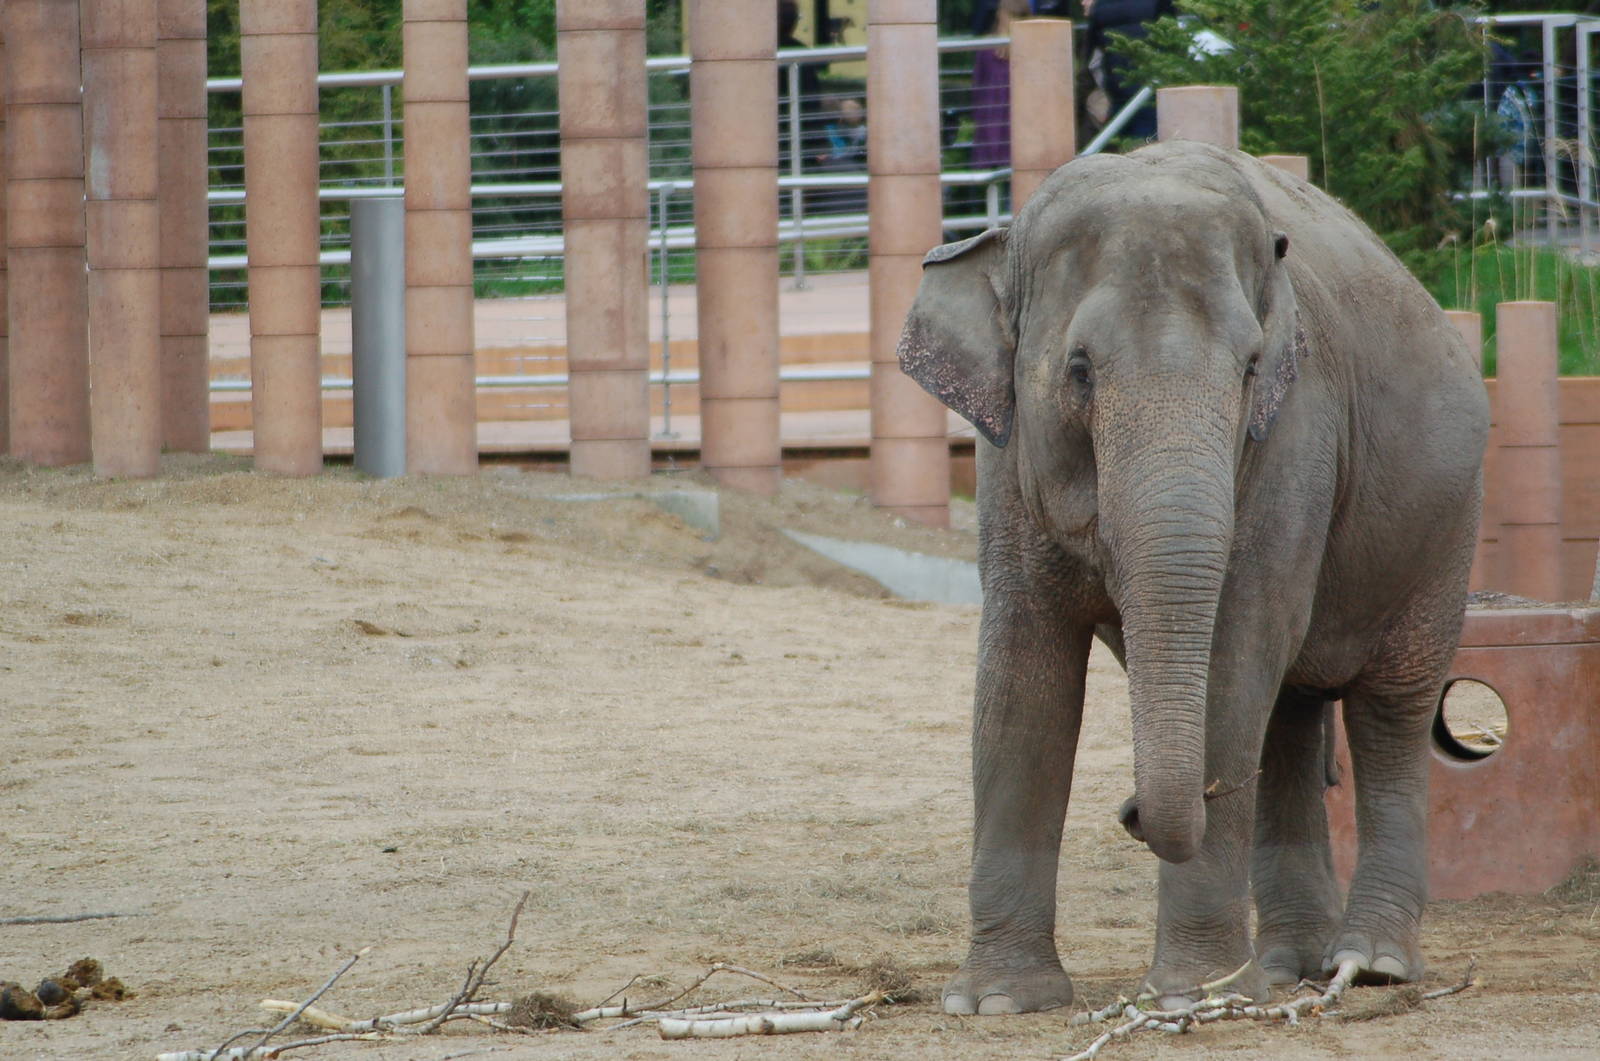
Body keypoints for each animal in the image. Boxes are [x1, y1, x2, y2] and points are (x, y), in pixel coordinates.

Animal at [896, 140, 1488, 1014]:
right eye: (1079, 369)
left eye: (1250, 368)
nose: (1133, 809)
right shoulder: (1005, 458)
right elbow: (1020, 672)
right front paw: (999, 1001)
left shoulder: (1295, 432)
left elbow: (1236, 652)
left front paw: (1188, 996)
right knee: (1291, 714)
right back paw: (1287, 966)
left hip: (1445, 526)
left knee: (1391, 708)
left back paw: (1369, 962)